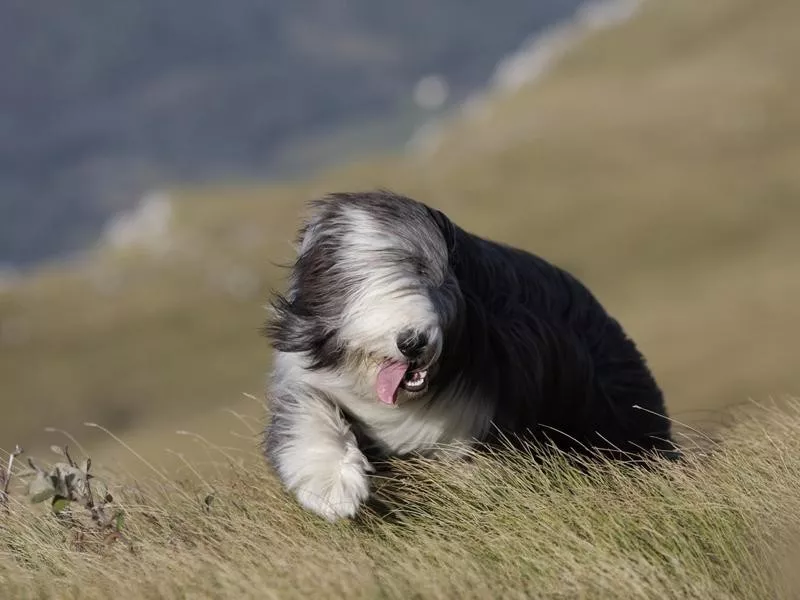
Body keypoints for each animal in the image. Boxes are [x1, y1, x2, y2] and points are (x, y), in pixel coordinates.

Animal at [260, 189, 676, 520]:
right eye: (356, 283)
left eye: (424, 272)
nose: (412, 341)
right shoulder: (303, 379)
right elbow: (308, 416)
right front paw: (333, 490)